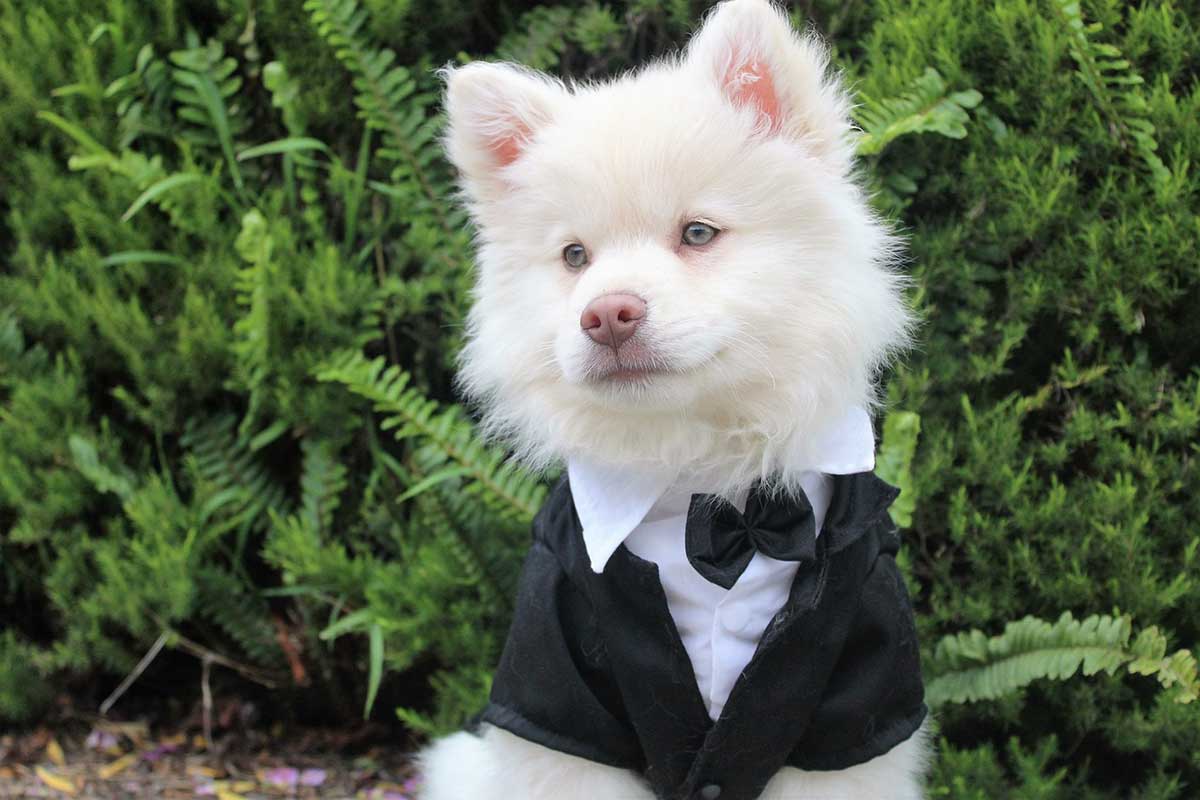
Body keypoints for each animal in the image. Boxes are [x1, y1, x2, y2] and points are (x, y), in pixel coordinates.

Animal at [422, 1, 926, 800]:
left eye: (697, 233)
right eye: (574, 257)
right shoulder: (561, 691)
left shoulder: (854, 702)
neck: (705, 484)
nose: (607, 314)